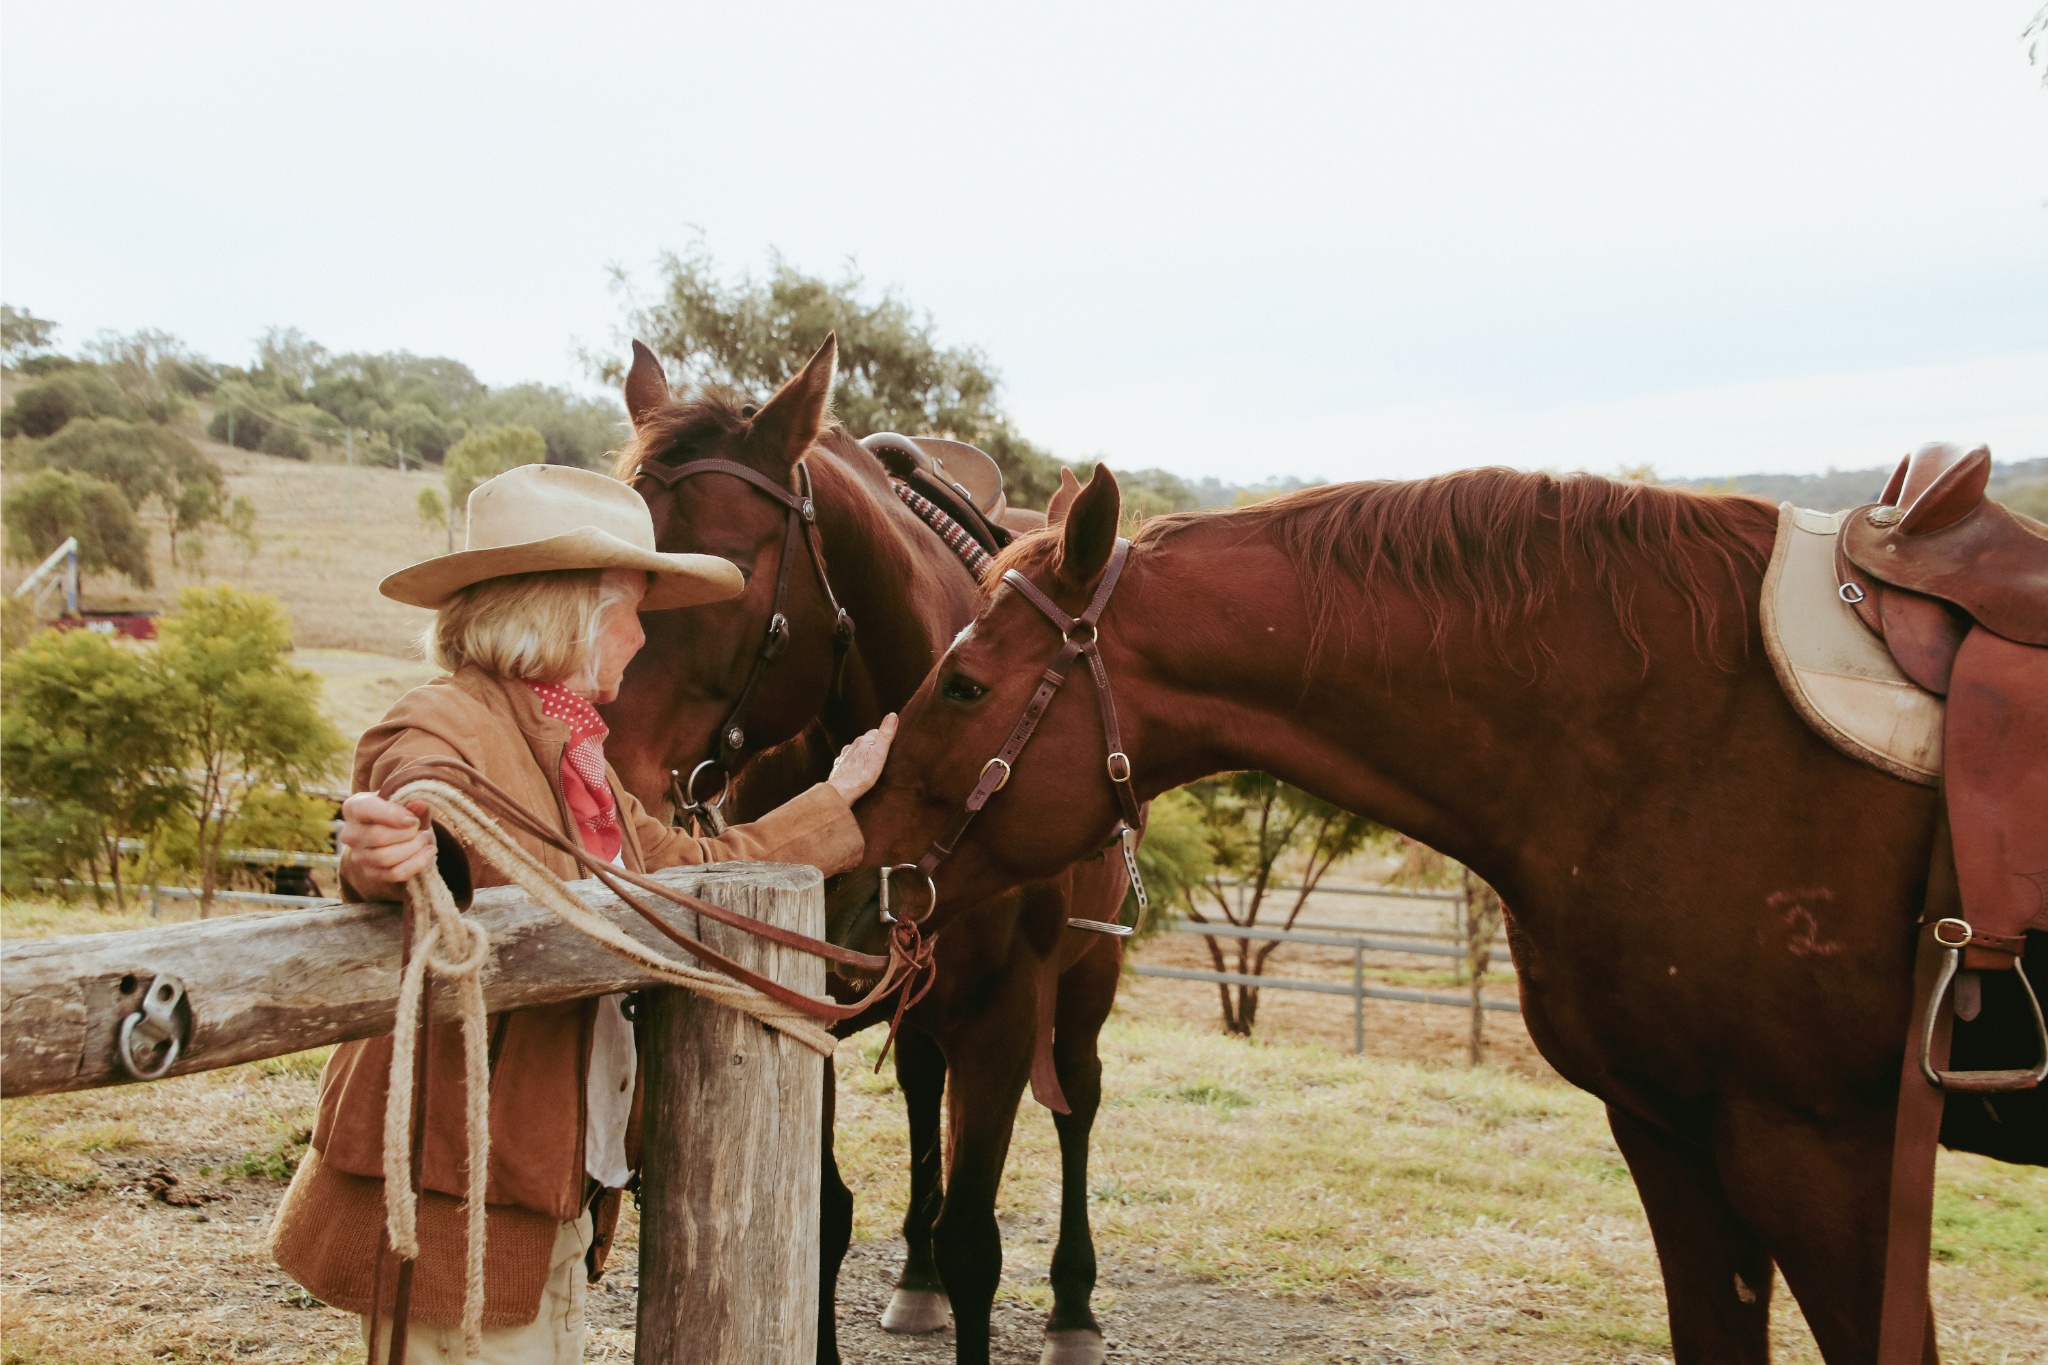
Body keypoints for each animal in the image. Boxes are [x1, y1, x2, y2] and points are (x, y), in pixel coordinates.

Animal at [598, 339, 1130, 1365]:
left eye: (725, 570)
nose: (602, 763)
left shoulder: (1005, 1015)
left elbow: (976, 1241)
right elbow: (822, 1215)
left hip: (1089, 976)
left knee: (1077, 1101)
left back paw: (1074, 1308)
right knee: (924, 1081)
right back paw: (916, 1280)